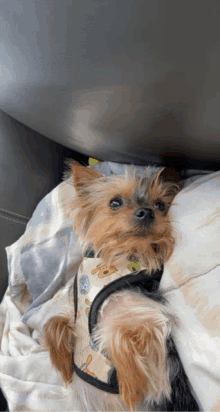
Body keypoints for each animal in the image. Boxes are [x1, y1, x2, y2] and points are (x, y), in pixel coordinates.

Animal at [43, 163, 199, 410]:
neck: (120, 257)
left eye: (160, 205)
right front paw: (64, 367)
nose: (146, 212)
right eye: (115, 203)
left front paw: (129, 390)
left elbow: (120, 333)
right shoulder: (75, 309)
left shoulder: (150, 320)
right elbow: (52, 323)